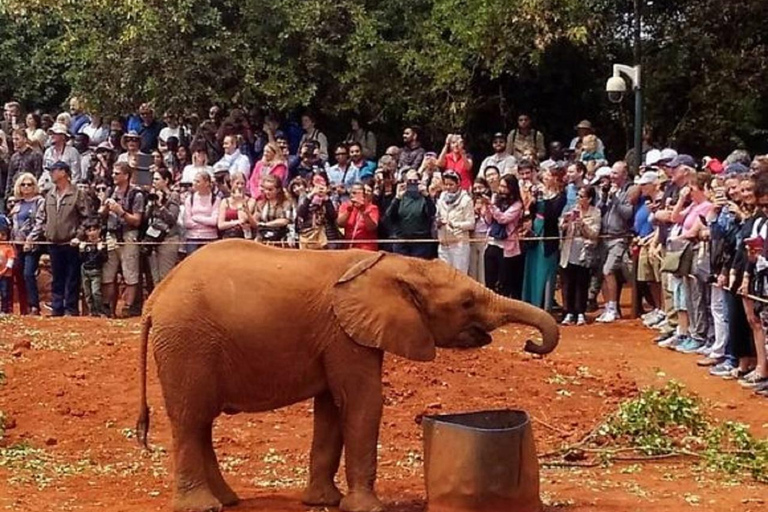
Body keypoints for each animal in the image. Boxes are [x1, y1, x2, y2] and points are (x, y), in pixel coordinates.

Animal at [136, 241, 560, 512]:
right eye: (467, 302)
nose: (530, 344)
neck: (391, 263)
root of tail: (154, 298)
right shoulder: (344, 332)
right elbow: (363, 401)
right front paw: (367, 509)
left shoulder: (337, 335)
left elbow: (331, 408)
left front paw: (326, 502)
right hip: (187, 342)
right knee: (190, 419)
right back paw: (202, 507)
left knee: (201, 423)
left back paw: (228, 501)